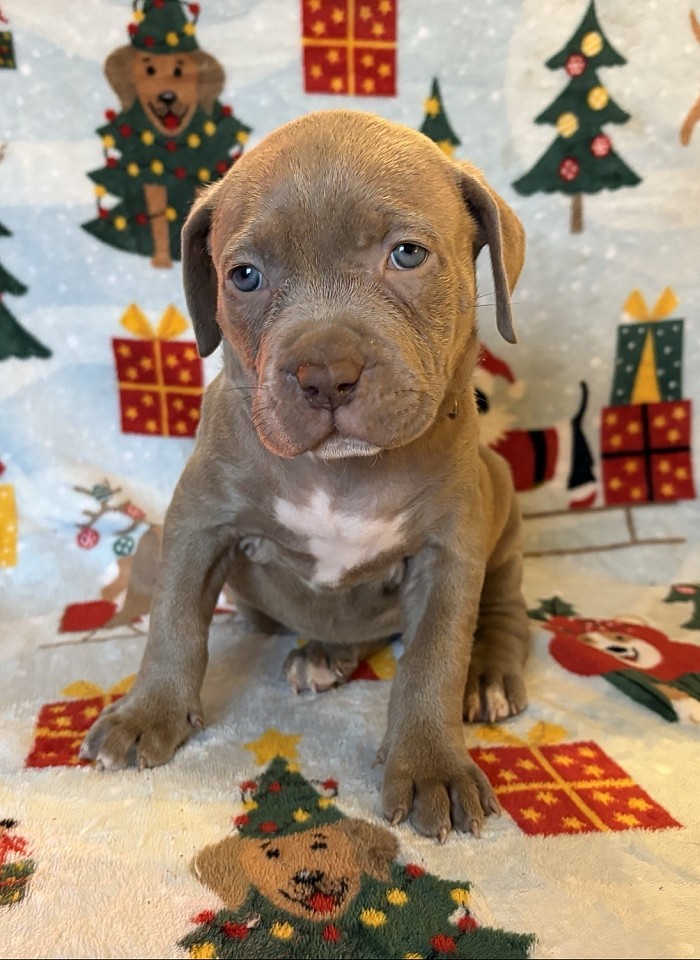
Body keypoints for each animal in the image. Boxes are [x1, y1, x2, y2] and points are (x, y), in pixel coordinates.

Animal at [81, 110, 530, 840]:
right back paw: (325, 654)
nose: (324, 373)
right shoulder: (200, 523)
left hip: (503, 507)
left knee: (502, 607)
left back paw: (487, 672)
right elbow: (174, 622)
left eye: (408, 254)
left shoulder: (449, 552)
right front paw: (147, 714)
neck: (340, 476)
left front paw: (431, 764)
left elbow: (432, 659)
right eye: (243, 276)